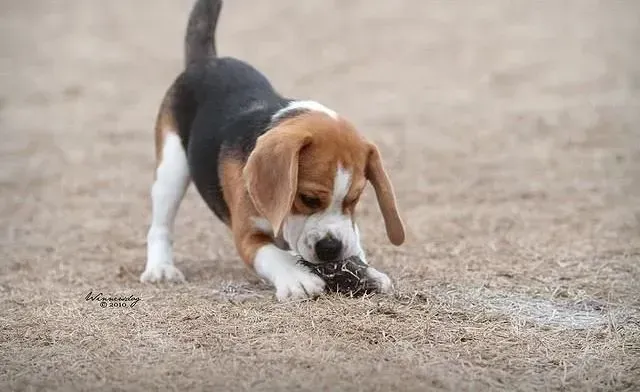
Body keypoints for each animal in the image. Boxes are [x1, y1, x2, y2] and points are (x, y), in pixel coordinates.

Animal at [142, 0, 404, 302]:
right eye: (308, 198)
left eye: (354, 199)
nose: (331, 248)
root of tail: (206, 61)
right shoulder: (247, 235)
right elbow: (271, 255)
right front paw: (297, 279)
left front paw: (367, 271)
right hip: (171, 168)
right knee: (161, 224)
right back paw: (160, 268)